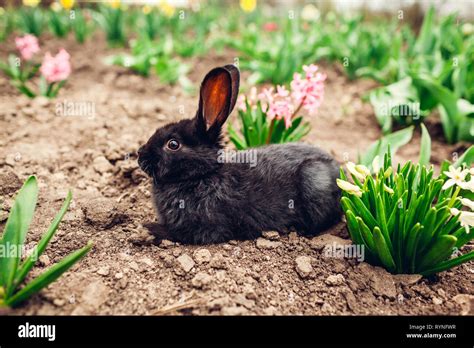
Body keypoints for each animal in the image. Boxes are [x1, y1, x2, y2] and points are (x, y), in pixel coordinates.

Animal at [137, 65, 340, 245]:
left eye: (173, 144)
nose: (140, 156)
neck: (203, 175)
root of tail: (338, 170)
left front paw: (147, 229)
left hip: (313, 181)